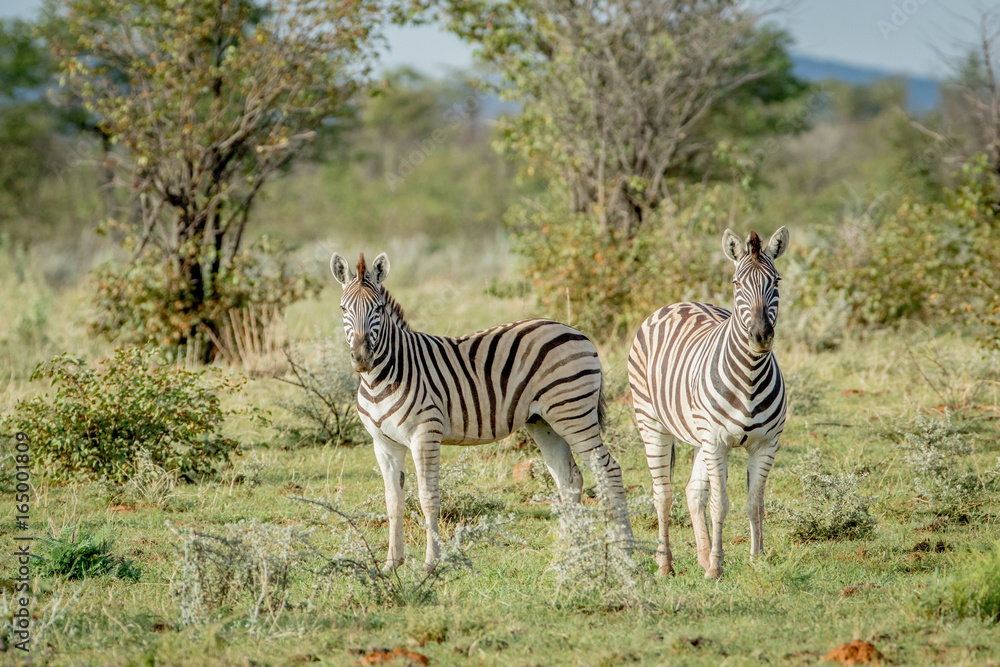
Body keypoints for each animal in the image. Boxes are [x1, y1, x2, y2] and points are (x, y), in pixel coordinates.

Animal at [330, 251, 633, 570]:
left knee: (609, 471)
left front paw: (431, 562)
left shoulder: (425, 435)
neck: (380, 380)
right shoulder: (383, 444)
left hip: (574, 414)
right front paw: (392, 563)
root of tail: (575, 330)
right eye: (343, 308)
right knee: (569, 480)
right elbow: (393, 501)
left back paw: (625, 550)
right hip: (544, 421)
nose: (361, 358)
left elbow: (428, 498)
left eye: (377, 309)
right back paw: (564, 556)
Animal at [628, 227, 789, 579]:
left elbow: (754, 503)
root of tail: (678, 302)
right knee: (663, 493)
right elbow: (721, 504)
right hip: (652, 422)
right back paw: (666, 564)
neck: (750, 377)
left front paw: (756, 560)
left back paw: (700, 555)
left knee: (692, 491)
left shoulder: (765, 444)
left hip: (701, 435)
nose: (761, 336)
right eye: (737, 284)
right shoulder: (717, 441)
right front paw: (716, 566)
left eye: (776, 281)